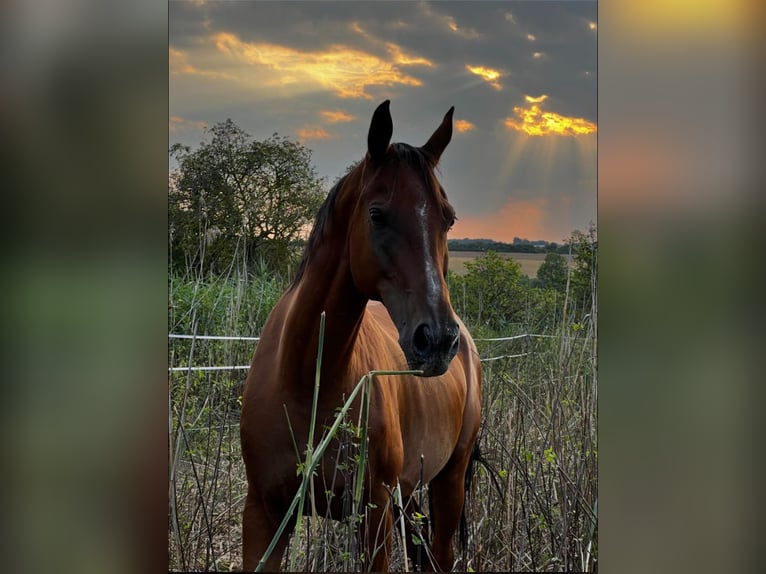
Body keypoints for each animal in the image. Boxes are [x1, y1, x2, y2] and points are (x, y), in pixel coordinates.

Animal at [240, 101, 484, 572]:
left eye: (448, 219)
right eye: (377, 214)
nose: (438, 340)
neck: (306, 379)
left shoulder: (374, 518)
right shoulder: (263, 514)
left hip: (448, 481)